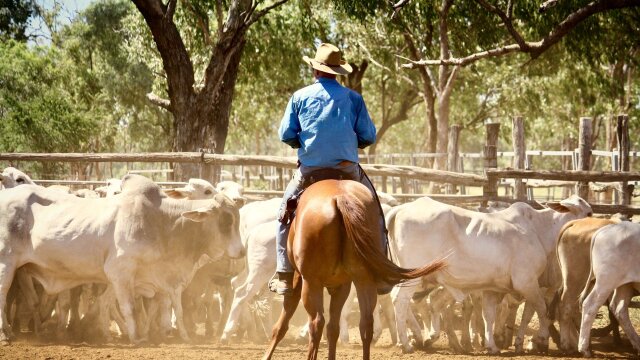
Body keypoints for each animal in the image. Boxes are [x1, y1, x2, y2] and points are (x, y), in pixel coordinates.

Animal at [262, 180, 444, 360]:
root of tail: (341, 198)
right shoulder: (342, 285)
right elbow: (333, 328)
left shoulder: (298, 279)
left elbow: (283, 321)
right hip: (364, 280)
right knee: (365, 324)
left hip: (311, 282)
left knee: (317, 322)